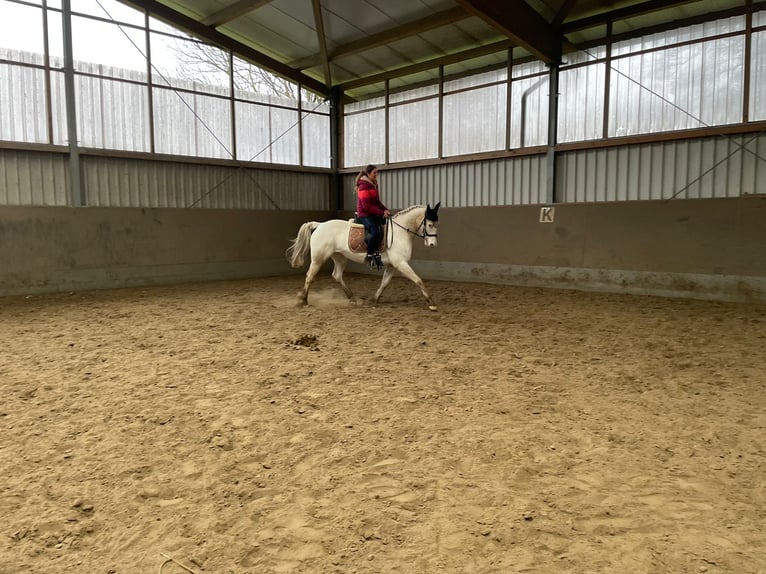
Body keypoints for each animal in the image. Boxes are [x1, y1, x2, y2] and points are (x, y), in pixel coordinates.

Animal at [286, 202, 444, 310]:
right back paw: (303, 300)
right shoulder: (401, 263)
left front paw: (374, 300)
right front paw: (431, 303)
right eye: (430, 224)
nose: (432, 244)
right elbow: (418, 280)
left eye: (437, 223)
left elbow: (384, 283)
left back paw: (352, 298)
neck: (400, 232)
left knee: (336, 275)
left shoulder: (392, 265)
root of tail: (320, 225)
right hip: (319, 258)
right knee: (310, 276)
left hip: (339, 257)